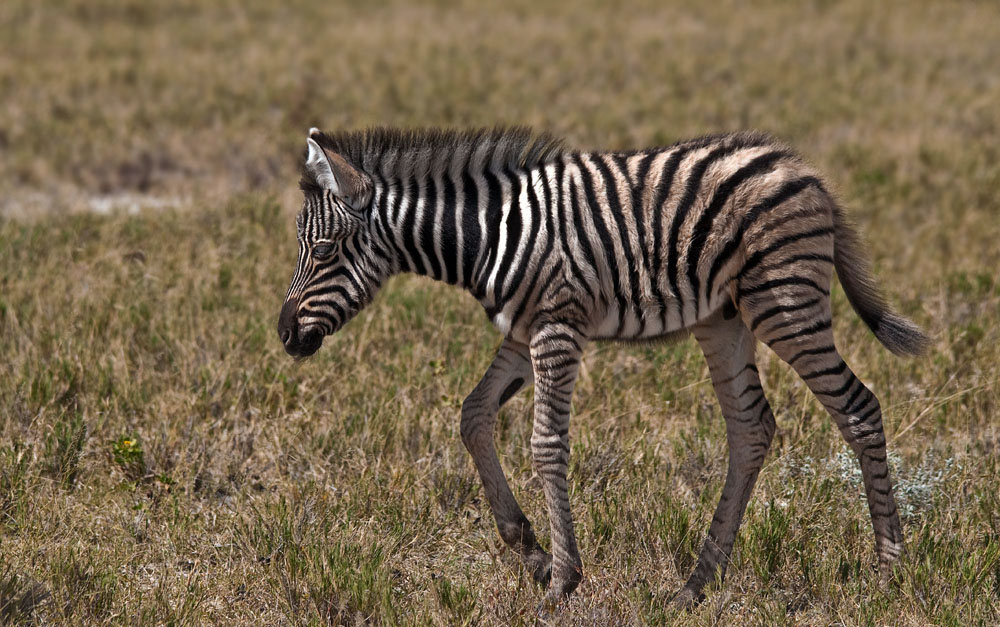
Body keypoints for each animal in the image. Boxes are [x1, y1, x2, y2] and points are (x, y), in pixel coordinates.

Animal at [276, 125, 928, 612]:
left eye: (325, 251)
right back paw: (695, 586)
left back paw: (887, 573)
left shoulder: (557, 324)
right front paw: (531, 552)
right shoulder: (523, 331)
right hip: (723, 318)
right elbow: (473, 416)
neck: (488, 234)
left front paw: (563, 580)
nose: (283, 336)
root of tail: (804, 170)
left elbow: (545, 444)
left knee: (858, 408)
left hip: (785, 303)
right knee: (751, 429)